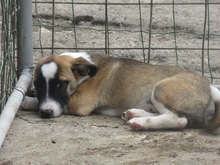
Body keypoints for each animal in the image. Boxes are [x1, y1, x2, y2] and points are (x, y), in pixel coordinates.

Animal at [20, 52, 220, 130]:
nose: (45, 113)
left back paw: (140, 122)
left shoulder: (79, 103)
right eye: (37, 84)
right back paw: (134, 113)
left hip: (161, 88)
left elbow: (61, 104)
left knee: (179, 119)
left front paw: (27, 101)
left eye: (61, 84)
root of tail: (207, 87)